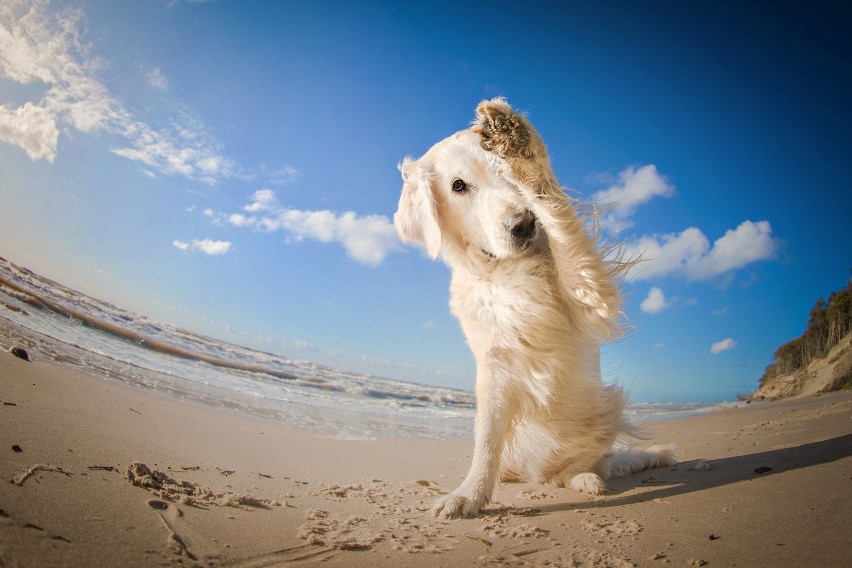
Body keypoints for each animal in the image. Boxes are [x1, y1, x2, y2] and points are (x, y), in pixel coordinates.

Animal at [396, 98, 676, 520]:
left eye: (501, 170)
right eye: (458, 186)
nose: (524, 225)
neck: (504, 269)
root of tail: (539, 473)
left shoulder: (589, 295)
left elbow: (560, 224)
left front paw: (520, 145)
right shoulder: (494, 365)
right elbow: (486, 442)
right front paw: (469, 495)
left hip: (606, 408)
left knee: (583, 468)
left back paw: (586, 479)